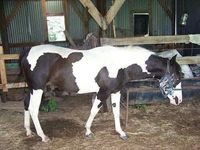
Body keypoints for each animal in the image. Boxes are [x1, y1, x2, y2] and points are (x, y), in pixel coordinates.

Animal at [19, 44, 183, 142]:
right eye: (176, 76)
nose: (178, 100)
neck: (121, 63)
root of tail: (27, 52)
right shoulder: (102, 92)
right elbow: (93, 111)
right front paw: (87, 131)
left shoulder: (115, 91)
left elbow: (116, 112)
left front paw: (121, 133)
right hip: (38, 89)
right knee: (33, 109)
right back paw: (43, 136)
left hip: (32, 89)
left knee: (26, 104)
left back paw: (28, 131)